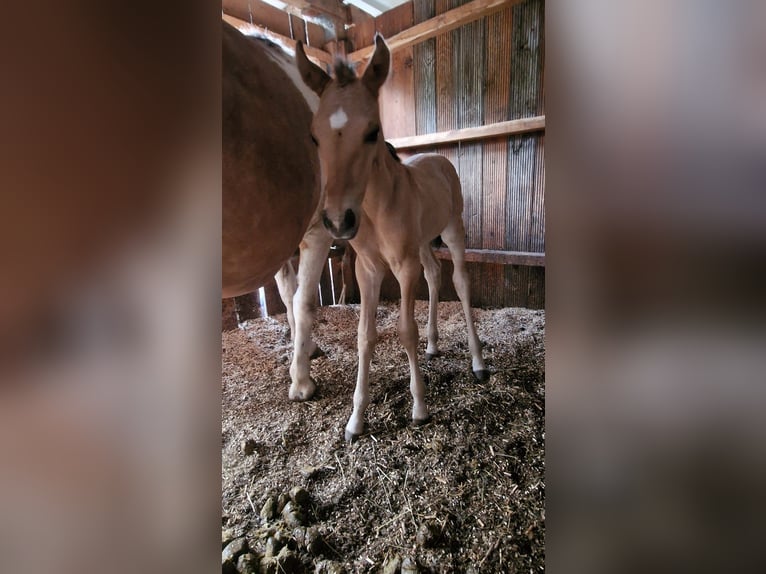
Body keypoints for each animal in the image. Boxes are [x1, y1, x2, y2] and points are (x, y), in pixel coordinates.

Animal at [296, 35, 488, 440]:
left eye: (372, 132)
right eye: (315, 137)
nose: (338, 221)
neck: (376, 205)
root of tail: (438, 159)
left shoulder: (402, 266)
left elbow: (404, 330)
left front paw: (420, 408)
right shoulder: (368, 269)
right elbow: (364, 336)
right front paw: (355, 420)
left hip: (452, 229)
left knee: (461, 282)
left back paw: (478, 362)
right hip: (422, 243)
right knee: (434, 275)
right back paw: (433, 346)